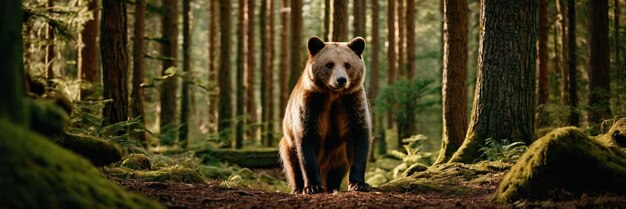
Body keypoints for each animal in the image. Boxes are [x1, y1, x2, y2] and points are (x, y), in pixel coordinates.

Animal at [278, 36, 370, 194]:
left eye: (347, 64)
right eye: (329, 64)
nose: (341, 80)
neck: (333, 95)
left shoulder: (351, 103)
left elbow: (358, 138)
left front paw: (359, 184)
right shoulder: (312, 104)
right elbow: (307, 141)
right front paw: (313, 186)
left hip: (338, 155)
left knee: (336, 170)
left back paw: (332, 186)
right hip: (288, 142)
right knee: (292, 162)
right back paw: (298, 188)